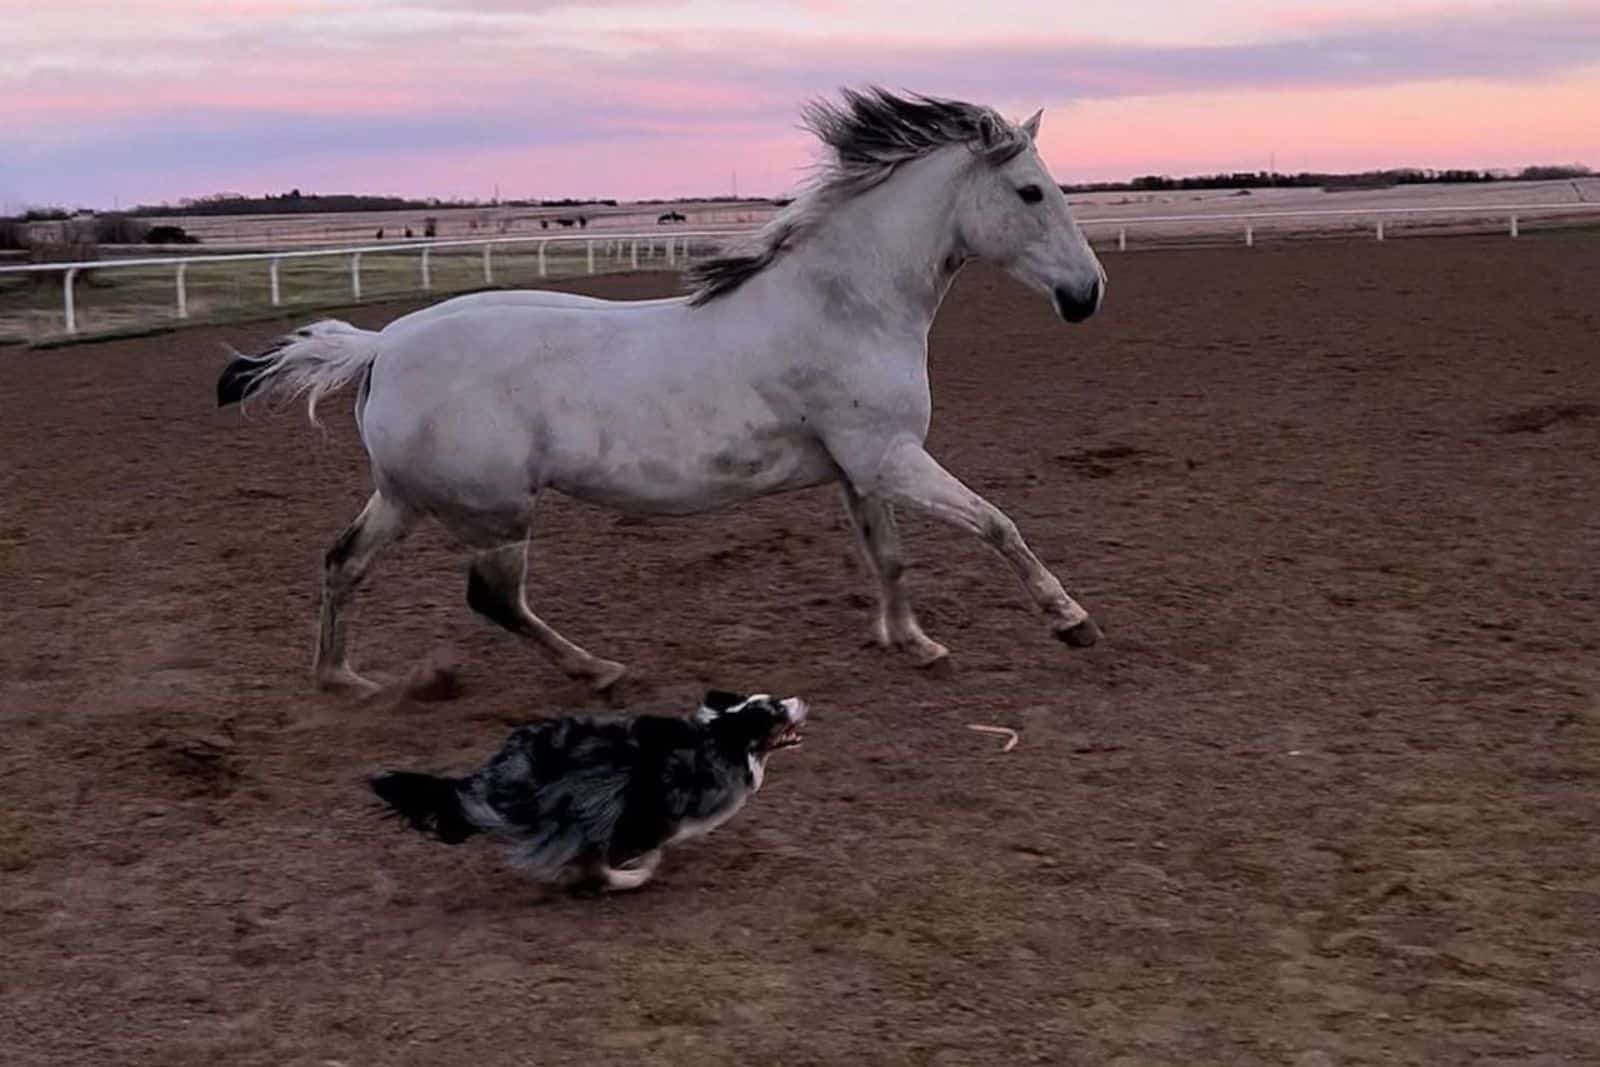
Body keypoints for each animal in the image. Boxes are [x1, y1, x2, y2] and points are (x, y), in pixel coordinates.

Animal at [219, 87, 1107, 697]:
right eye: (1031, 191)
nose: (1087, 294)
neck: (845, 306)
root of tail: (381, 347)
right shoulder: (891, 458)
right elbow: (997, 524)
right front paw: (1072, 621)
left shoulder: (862, 468)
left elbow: (888, 556)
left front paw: (913, 642)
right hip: (496, 512)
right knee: (494, 599)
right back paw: (599, 670)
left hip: (406, 500)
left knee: (343, 563)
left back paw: (344, 679)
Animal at [368, 694, 806, 895]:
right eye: (775, 710)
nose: (801, 700)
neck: (718, 741)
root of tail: (499, 769)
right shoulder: (642, 813)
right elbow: (640, 855)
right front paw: (631, 874)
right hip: (585, 806)